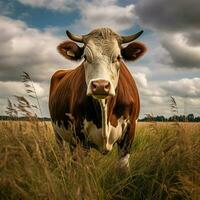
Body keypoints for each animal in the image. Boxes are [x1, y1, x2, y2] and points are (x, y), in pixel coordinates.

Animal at [49, 27, 146, 170]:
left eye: (118, 57)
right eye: (85, 57)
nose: (100, 85)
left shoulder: (130, 131)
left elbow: (123, 166)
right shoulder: (80, 134)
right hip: (57, 132)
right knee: (62, 152)